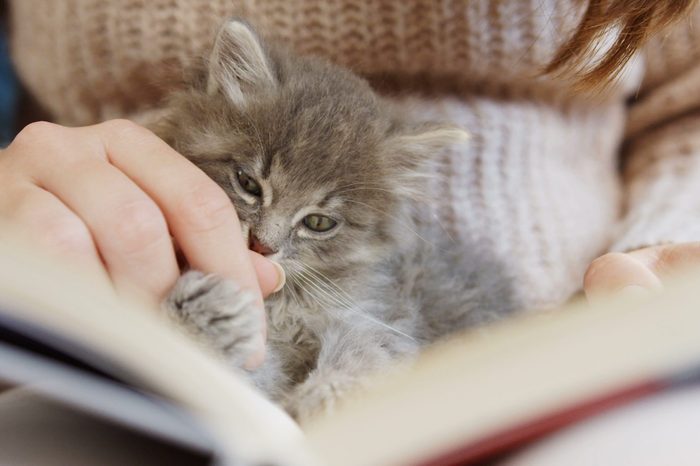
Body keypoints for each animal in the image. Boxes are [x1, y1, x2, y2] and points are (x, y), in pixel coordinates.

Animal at [152, 20, 516, 424]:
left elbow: (364, 361)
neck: (282, 303)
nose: (262, 245)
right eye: (248, 184)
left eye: (318, 222)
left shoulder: (379, 318)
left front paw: (317, 400)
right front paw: (202, 317)